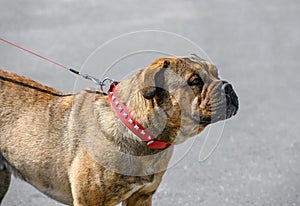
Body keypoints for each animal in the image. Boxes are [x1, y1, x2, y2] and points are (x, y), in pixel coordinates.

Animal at [0, 55, 239, 206]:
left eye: (217, 74)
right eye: (195, 81)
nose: (228, 86)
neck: (139, 131)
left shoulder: (141, 197)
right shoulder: (88, 201)